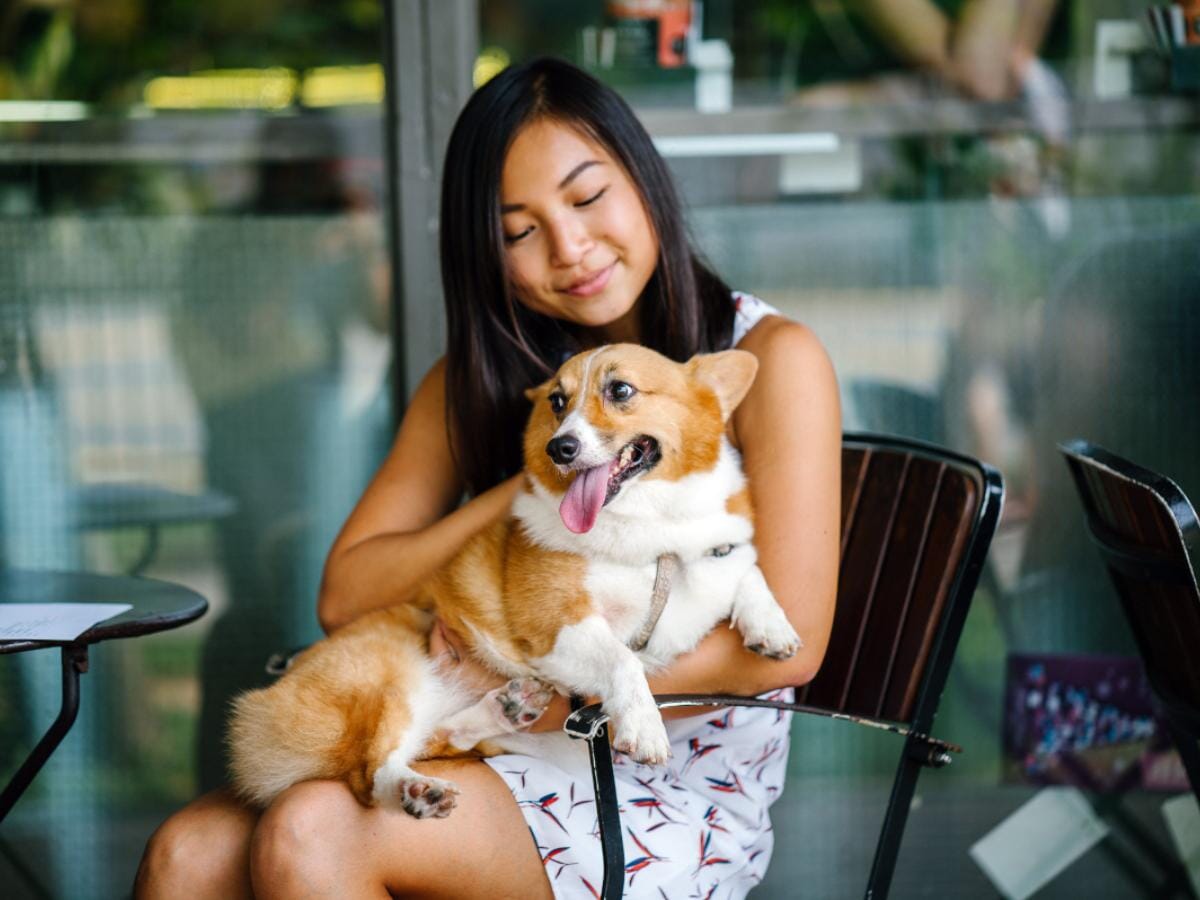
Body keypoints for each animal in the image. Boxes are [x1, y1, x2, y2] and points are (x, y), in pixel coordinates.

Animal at [229, 343, 801, 816]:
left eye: (620, 390)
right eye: (556, 401)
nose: (560, 448)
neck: (653, 534)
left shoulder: (714, 555)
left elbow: (747, 568)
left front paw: (771, 626)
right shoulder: (558, 625)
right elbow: (622, 659)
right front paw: (643, 725)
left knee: (440, 737)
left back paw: (504, 709)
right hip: (388, 673)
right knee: (368, 774)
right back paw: (416, 790)